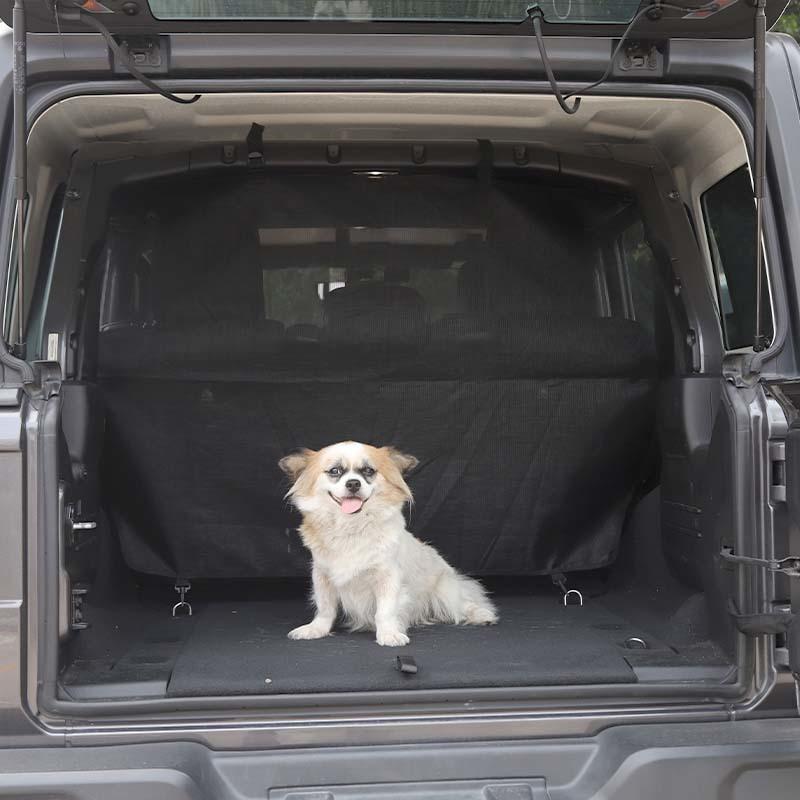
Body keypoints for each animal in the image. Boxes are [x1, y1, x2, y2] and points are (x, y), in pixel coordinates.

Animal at [279, 441, 498, 646]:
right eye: (335, 471)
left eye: (369, 471)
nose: (353, 483)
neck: (351, 527)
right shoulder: (322, 577)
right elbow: (325, 609)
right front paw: (316, 629)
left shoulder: (388, 577)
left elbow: (385, 611)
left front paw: (388, 634)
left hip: (445, 590)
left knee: (464, 603)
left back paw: (483, 615)